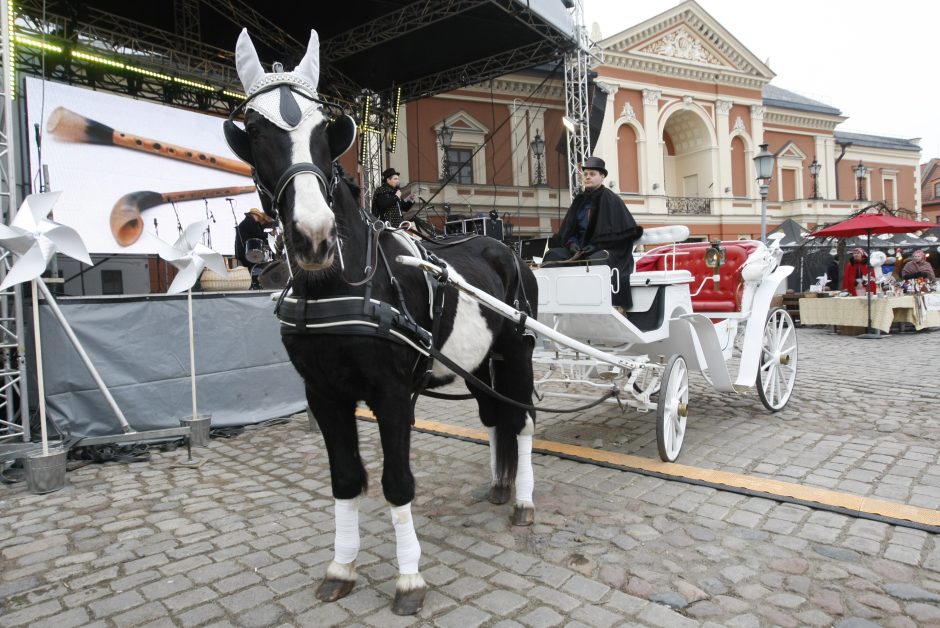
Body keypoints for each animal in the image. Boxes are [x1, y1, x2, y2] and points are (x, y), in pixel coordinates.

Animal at [223, 28, 540, 612]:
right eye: (253, 130)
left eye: (325, 129)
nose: (314, 235)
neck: (344, 281)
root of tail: (504, 247)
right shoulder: (323, 394)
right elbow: (346, 479)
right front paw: (342, 565)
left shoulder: (392, 394)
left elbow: (397, 482)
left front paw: (409, 577)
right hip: (476, 362)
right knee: (494, 417)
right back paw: (500, 485)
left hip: (517, 350)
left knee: (522, 419)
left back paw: (524, 501)